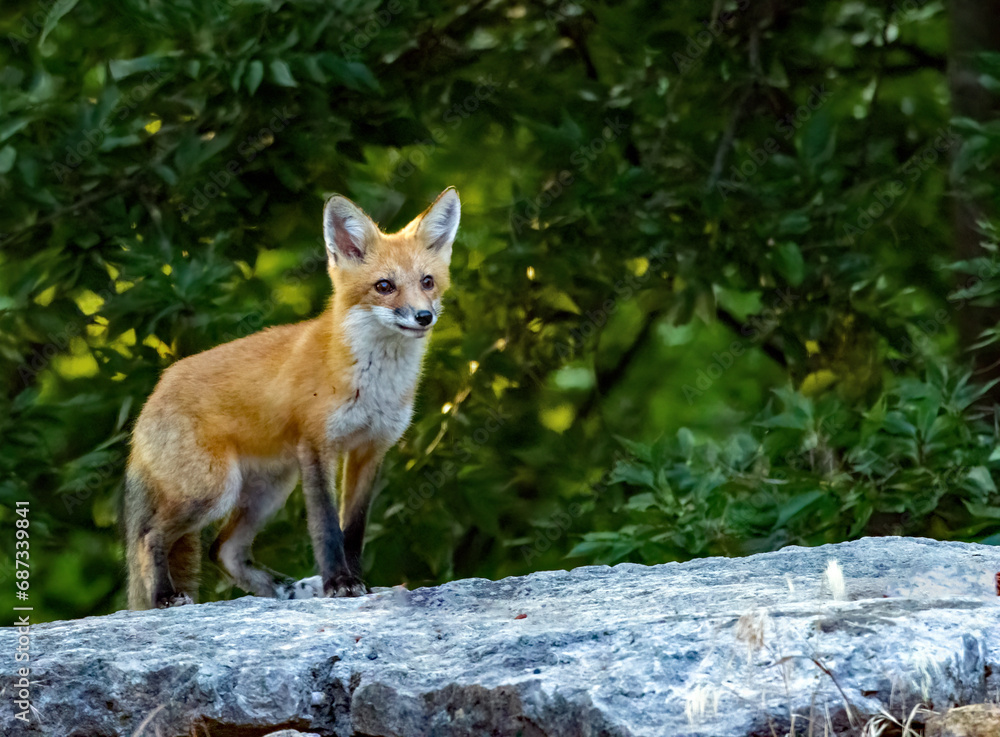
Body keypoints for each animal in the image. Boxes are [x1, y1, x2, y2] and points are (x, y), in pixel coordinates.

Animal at [123, 187, 460, 610]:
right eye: (384, 286)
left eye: (427, 281)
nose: (423, 317)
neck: (373, 384)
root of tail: (156, 390)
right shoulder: (316, 446)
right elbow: (326, 527)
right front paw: (340, 583)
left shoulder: (369, 450)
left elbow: (353, 530)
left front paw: (358, 585)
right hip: (212, 492)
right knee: (149, 535)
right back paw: (166, 595)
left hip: (268, 490)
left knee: (224, 551)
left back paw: (289, 591)